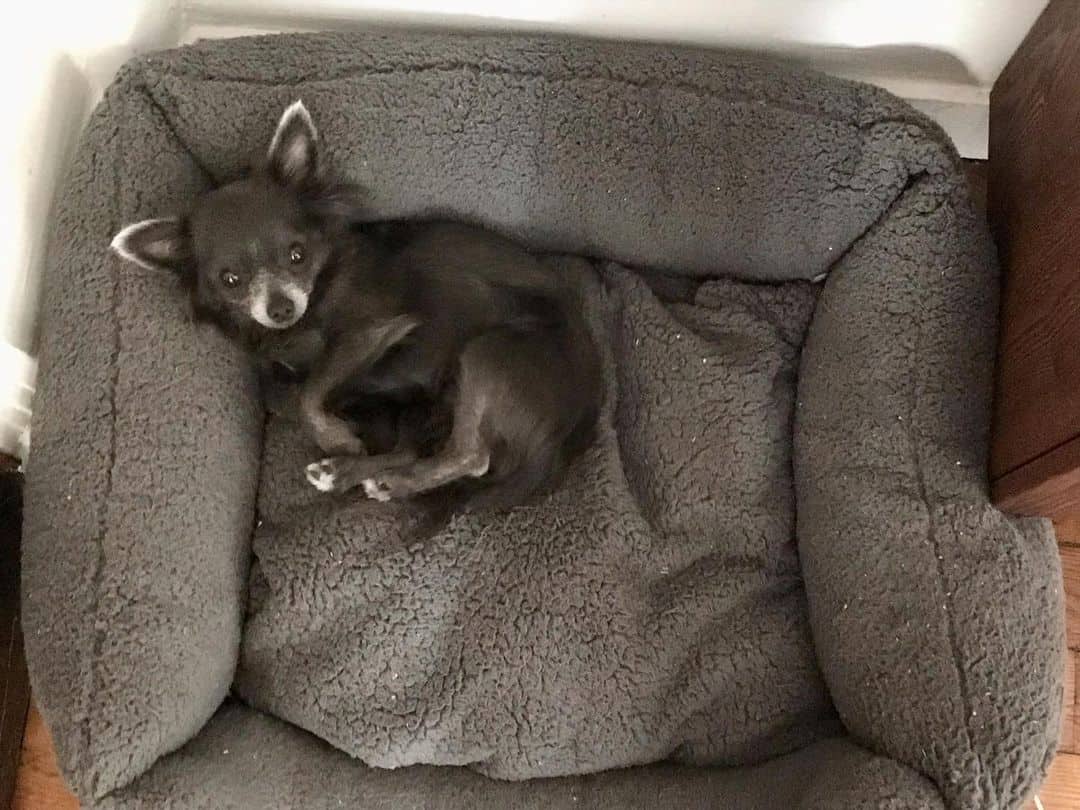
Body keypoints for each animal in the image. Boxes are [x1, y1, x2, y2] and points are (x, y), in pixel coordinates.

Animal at [111, 101, 600, 507]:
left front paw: (338, 439)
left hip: (489, 352)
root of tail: (574, 428)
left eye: (297, 255)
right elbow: (282, 391)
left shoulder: (373, 329)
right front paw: (343, 439)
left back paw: (383, 478)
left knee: (471, 455)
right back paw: (353, 474)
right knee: (417, 448)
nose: (280, 308)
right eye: (230, 280)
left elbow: (308, 394)